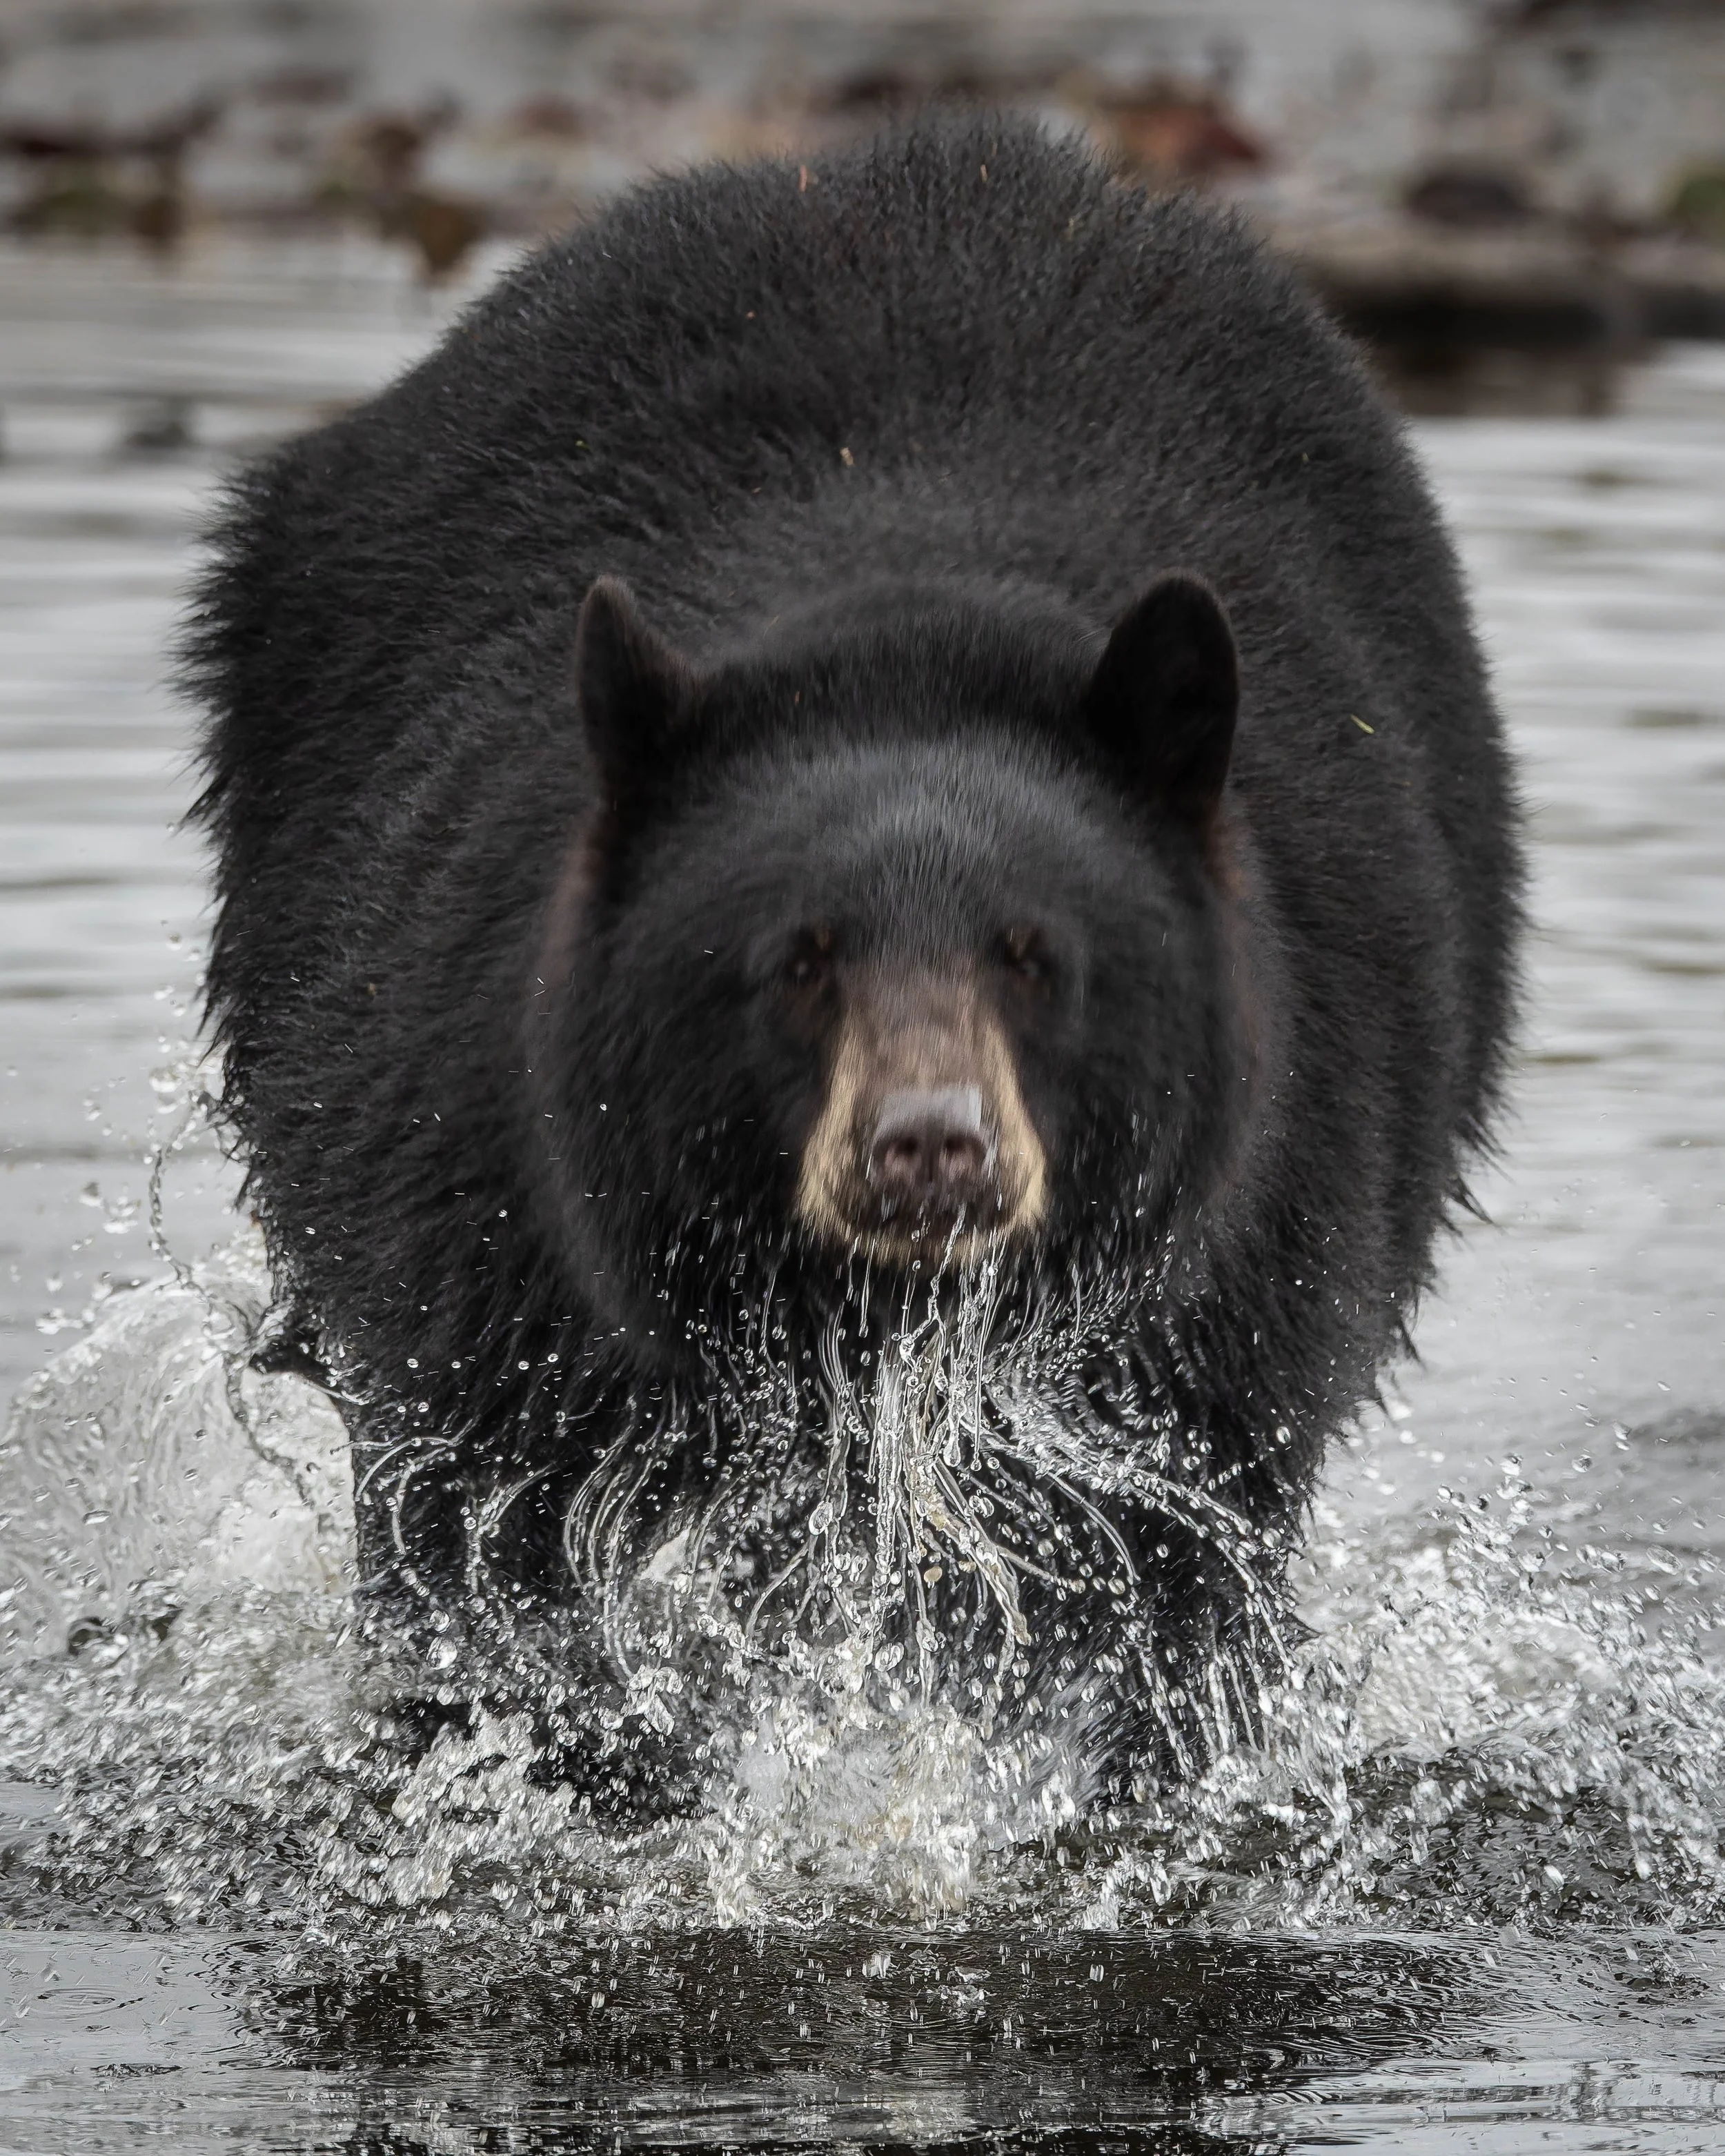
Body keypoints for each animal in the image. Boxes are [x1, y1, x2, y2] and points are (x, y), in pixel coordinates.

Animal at [184, 114, 1521, 1809]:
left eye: (1033, 956)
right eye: (798, 960)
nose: (927, 1148)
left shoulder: (1249, 1255)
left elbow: (1174, 1574)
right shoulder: (477, 1184)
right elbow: (480, 1534)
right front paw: (547, 1754)